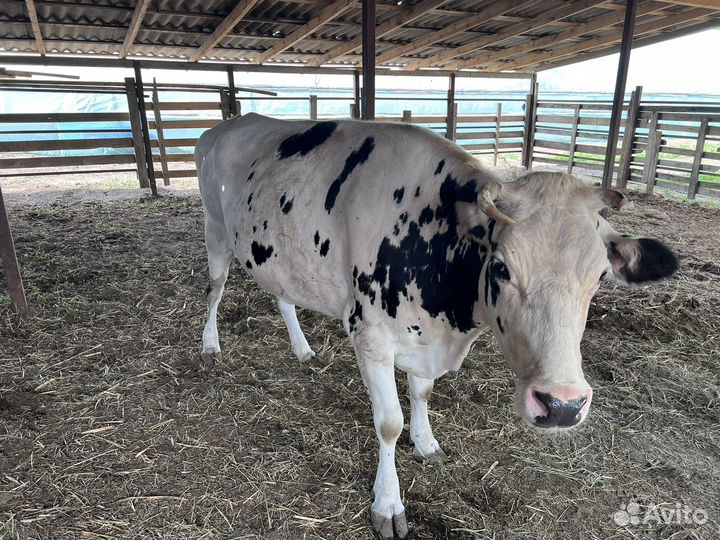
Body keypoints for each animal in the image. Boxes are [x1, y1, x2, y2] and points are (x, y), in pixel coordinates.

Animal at [195, 113, 678, 538]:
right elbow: (388, 423)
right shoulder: (370, 336)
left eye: (600, 276)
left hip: (278, 255)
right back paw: (210, 345)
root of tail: (226, 124)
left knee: (283, 295)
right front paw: (388, 503)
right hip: (215, 231)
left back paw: (301, 348)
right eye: (500, 268)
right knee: (215, 289)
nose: (561, 404)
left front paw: (426, 443)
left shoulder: (424, 339)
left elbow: (422, 393)